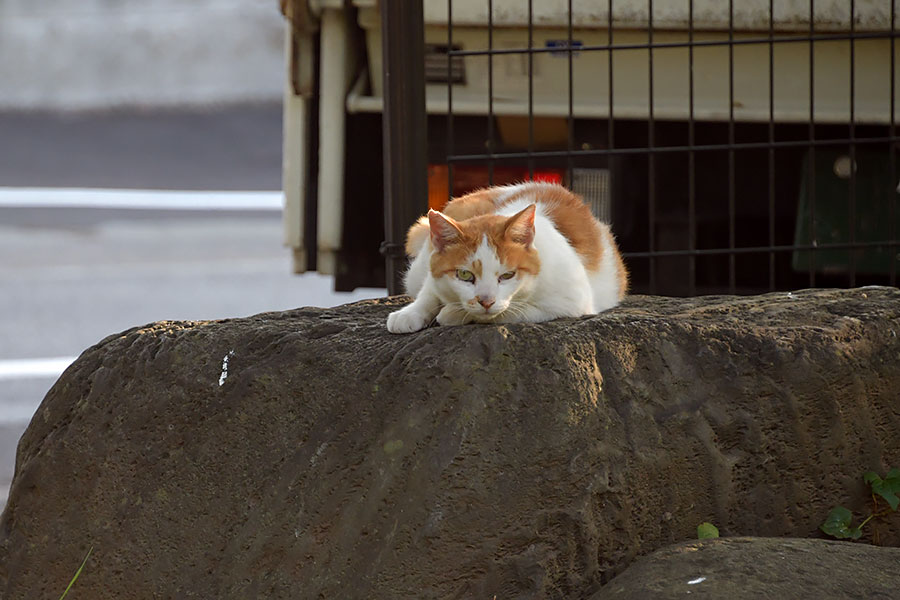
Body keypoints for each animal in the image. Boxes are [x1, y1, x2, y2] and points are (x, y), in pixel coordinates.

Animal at [384, 183, 624, 332]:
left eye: (507, 276)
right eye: (465, 275)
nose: (486, 301)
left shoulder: (570, 304)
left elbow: (511, 312)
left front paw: (450, 314)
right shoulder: (434, 274)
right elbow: (429, 292)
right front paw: (408, 314)